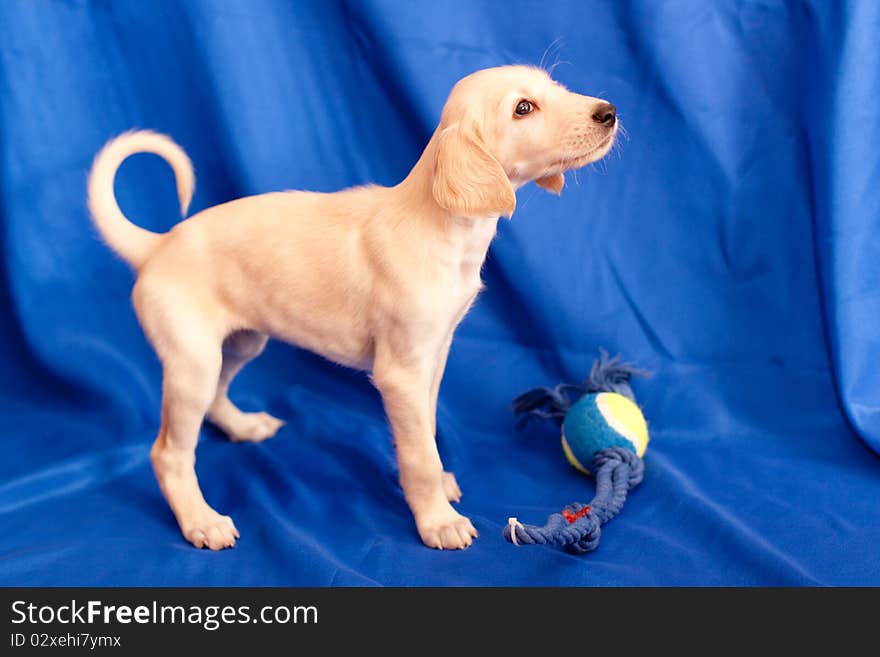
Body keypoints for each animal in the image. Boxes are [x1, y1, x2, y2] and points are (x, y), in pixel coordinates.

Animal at [86, 65, 616, 548]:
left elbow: (425, 431)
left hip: (238, 345)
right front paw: (437, 520)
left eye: (556, 87)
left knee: (216, 398)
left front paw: (435, 488)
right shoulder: (400, 372)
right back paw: (200, 520)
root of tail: (157, 246)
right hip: (192, 363)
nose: (608, 112)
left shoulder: (433, 356)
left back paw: (244, 426)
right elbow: (419, 455)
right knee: (169, 453)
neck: (441, 225)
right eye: (523, 108)